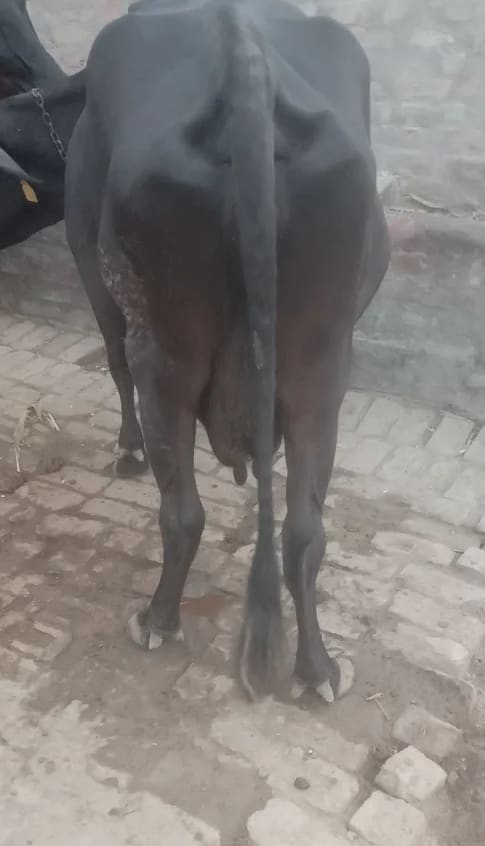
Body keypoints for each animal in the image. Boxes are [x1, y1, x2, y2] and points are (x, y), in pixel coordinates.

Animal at [62, 0, 390, 702]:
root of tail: (243, 53)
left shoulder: (95, 282)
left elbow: (114, 367)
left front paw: (126, 451)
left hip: (169, 356)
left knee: (182, 510)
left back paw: (157, 618)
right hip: (319, 369)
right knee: (304, 530)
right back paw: (316, 669)